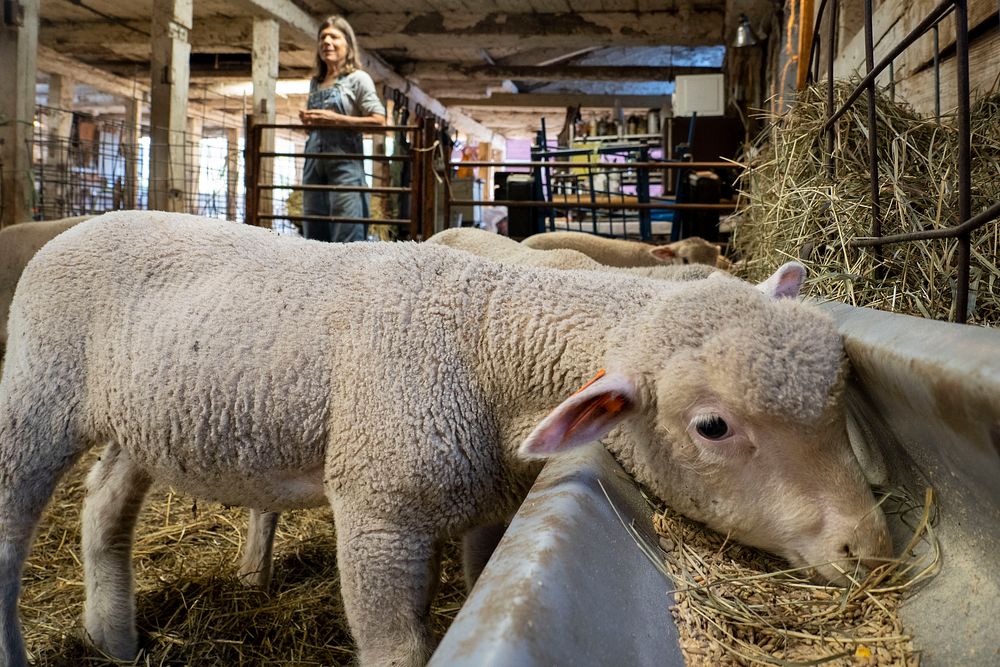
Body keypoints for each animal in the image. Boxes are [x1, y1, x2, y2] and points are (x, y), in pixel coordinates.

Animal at [0, 213, 892, 667]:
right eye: (712, 426)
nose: (870, 548)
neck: (485, 337)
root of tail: (83, 222)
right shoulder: (379, 511)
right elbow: (395, 645)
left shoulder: (487, 503)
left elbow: (472, 581)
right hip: (35, 393)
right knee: (12, 530)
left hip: (141, 419)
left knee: (104, 507)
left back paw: (115, 639)